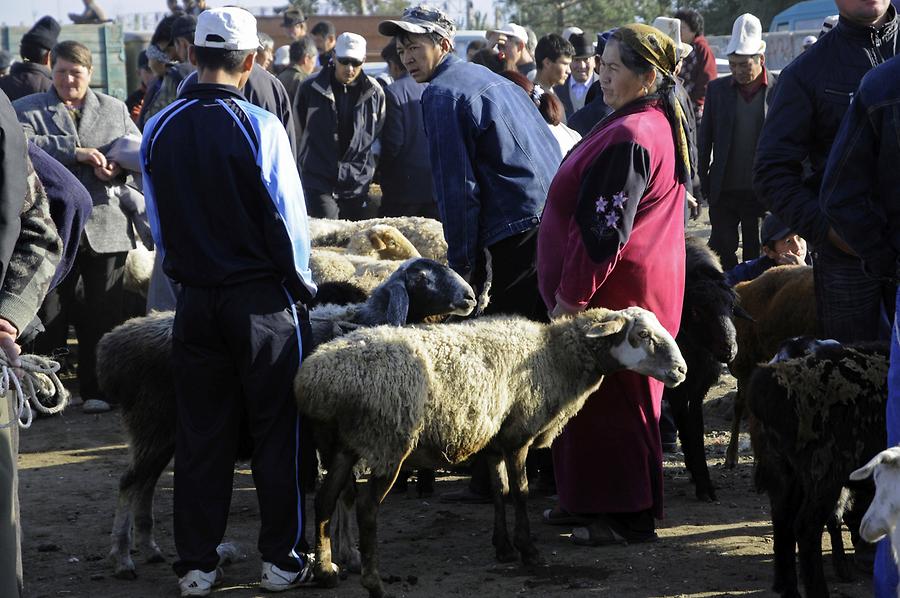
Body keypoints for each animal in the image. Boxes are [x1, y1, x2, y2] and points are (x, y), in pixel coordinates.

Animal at [103, 258, 482, 580]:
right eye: (422, 277)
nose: (470, 296)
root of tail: (114, 343)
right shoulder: (333, 440)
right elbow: (343, 494)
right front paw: (347, 554)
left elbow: (343, 494)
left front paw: (344, 552)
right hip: (153, 422)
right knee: (128, 483)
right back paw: (122, 559)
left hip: (164, 431)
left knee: (146, 483)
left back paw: (150, 548)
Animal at [298, 308, 688, 598]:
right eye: (642, 335)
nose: (681, 370)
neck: (552, 357)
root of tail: (318, 381)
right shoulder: (518, 437)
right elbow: (520, 493)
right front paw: (528, 550)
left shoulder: (494, 441)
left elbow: (499, 492)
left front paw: (503, 548)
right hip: (386, 441)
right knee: (366, 509)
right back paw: (374, 583)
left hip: (339, 445)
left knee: (324, 500)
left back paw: (325, 570)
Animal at [660, 238, 744, 502]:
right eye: (696, 311)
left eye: (731, 305)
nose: (729, 350)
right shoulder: (678, 388)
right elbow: (687, 427)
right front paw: (701, 482)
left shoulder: (698, 387)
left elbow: (695, 427)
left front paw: (702, 480)